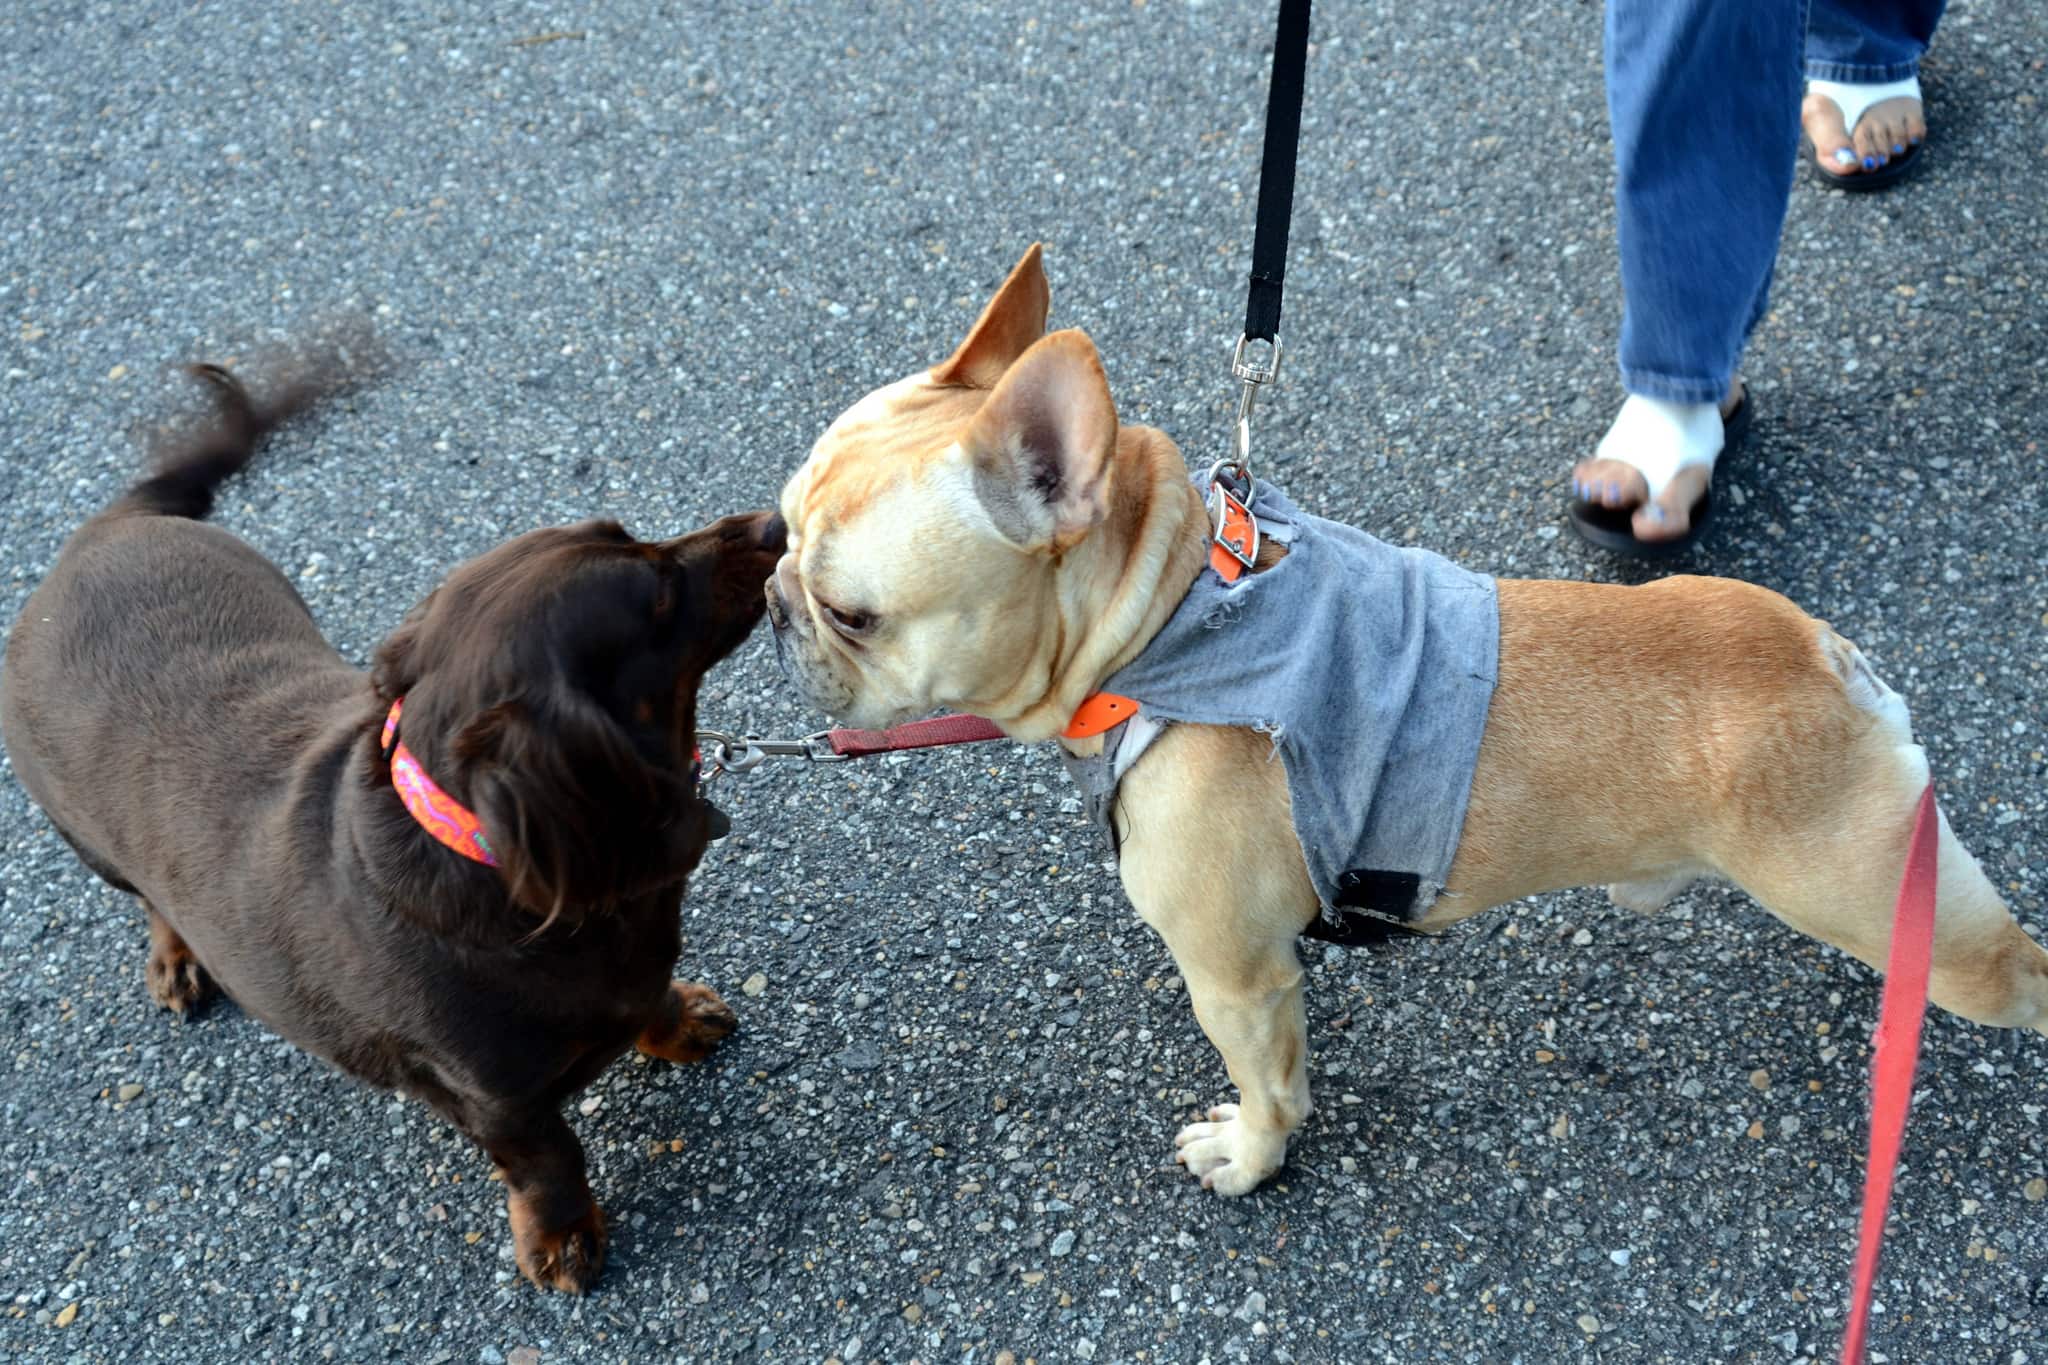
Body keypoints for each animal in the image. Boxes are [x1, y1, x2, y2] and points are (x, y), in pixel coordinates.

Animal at [2, 343, 782, 1293]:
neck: (492, 861)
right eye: (659, 590)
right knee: (153, 900)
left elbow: (649, 997)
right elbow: (550, 1160)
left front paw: (674, 1022)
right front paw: (561, 1236)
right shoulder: (495, 1101)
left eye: (629, 530)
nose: (774, 523)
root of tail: (109, 526)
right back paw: (178, 959)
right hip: (90, 843)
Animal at [770, 245, 2048, 1195]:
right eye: (778, 526)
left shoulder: (1236, 977)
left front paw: (1251, 1159)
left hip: (1907, 921)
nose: (775, 602)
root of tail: (1827, 659)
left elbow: (1271, 1085)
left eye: (854, 613)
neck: (1167, 622)